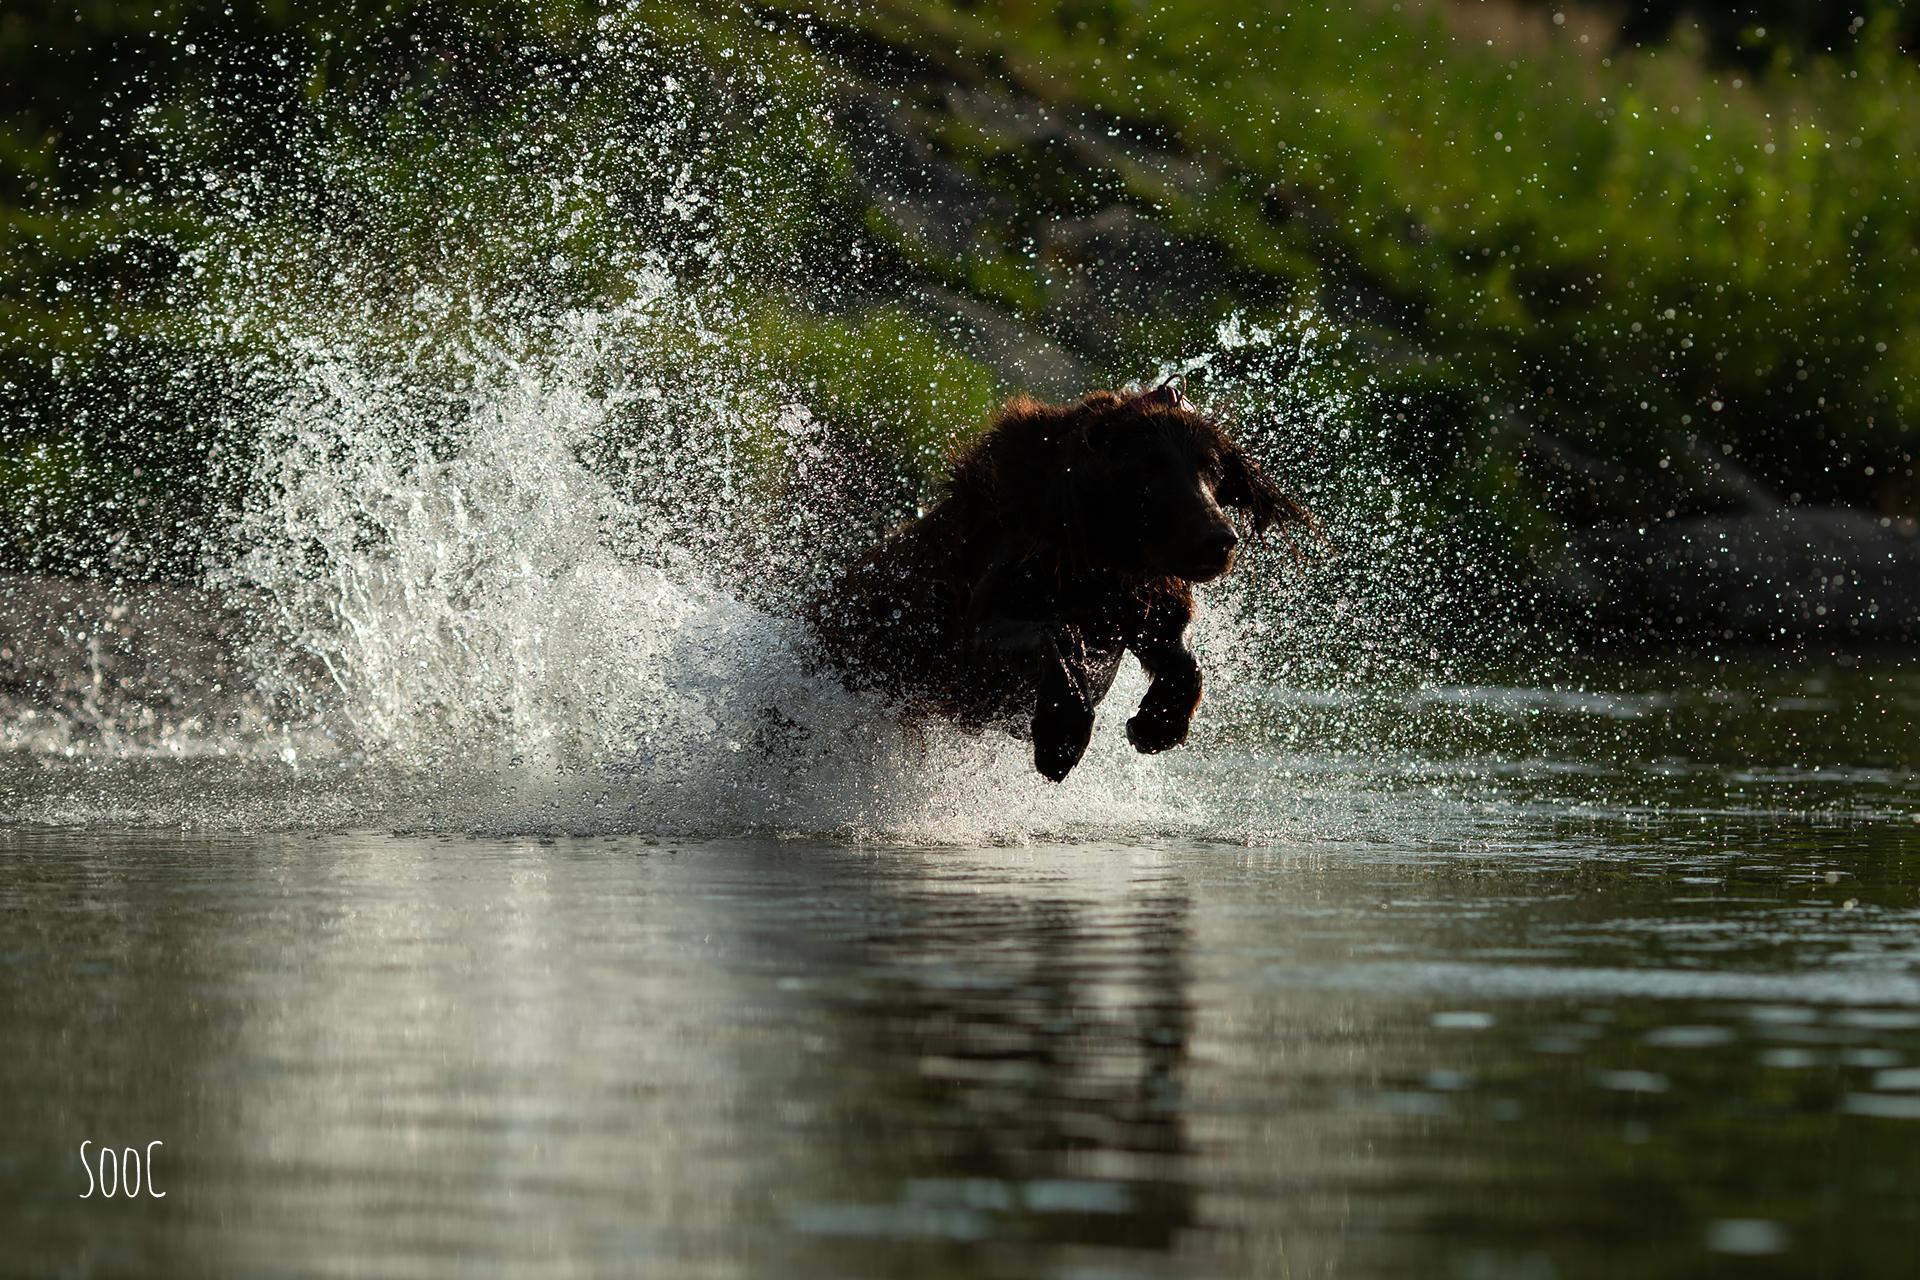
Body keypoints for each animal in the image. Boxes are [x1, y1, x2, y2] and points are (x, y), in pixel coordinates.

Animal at [802, 379, 1313, 782]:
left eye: (1212, 468)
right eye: (1150, 468)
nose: (1218, 540)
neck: (1099, 562)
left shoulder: (1135, 603)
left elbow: (1176, 651)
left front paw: (1156, 722)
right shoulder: (985, 616)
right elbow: (1046, 633)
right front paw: (1060, 739)